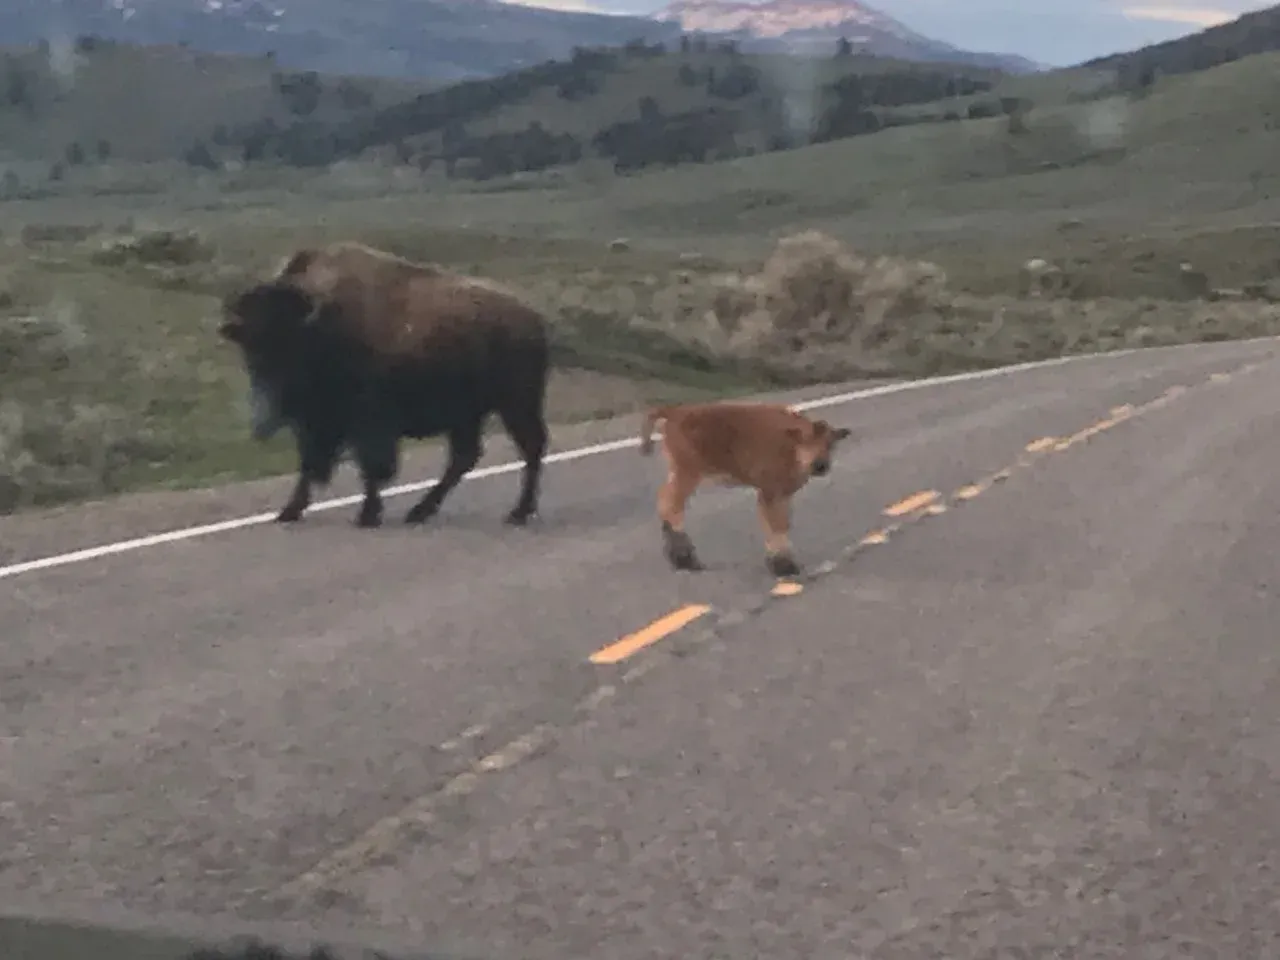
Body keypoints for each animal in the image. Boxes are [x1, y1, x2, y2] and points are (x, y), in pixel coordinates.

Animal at [217, 241, 551, 529]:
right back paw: (420, 511)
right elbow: (310, 465)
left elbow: (371, 468)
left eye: (287, 340)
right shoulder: (317, 424)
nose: (266, 413)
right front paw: (289, 512)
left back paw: (517, 513)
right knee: (465, 457)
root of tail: (534, 319)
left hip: (515, 405)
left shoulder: (368, 423)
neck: (320, 325)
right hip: (469, 415)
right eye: (248, 343)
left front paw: (367, 515)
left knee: (529, 447)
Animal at [639, 401, 852, 577]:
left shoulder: (782, 494)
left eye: (831, 444)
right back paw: (688, 560)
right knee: (671, 505)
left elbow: (783, 523)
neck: (790, 445)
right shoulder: (770, 492)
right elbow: (775, 525)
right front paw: (784, 567)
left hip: (680, 473)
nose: (821, 465)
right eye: (807, 440)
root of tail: (674, 413)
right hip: (688, 473)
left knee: (667, 501)